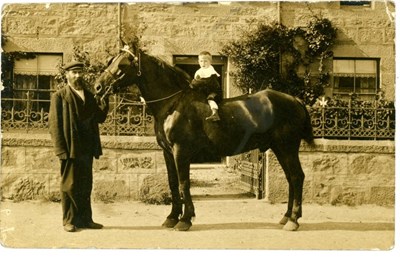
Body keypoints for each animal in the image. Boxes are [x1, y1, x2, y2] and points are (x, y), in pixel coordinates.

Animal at [95, 45, 314, 231]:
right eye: (111, 60)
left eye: (122, 65)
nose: (98, 87)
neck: (173, 103)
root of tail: (295, 99)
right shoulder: (168, 152)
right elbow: (173, 183)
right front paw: (172, 217)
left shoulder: (181, 151)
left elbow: (183, 183)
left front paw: (185, 219)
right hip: (280, 148)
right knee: (291, 178)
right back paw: (286, 217)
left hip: (287, 147)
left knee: (297, 176)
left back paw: (293, 220)